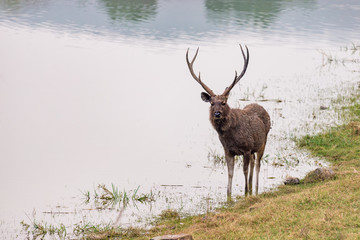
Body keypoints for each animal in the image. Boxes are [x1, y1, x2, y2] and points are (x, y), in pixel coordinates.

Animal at [187, 45, 268, 199]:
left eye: (224, 103)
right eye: (212, 103)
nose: (217, 114)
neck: (230, 136)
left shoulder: (246, 148)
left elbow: (244, 170)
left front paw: (245, 191)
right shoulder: (228, 150)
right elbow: (230, 172)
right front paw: (228, 194)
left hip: (263, 142)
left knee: (258, 164)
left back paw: (254, 187)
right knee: (254, 162)